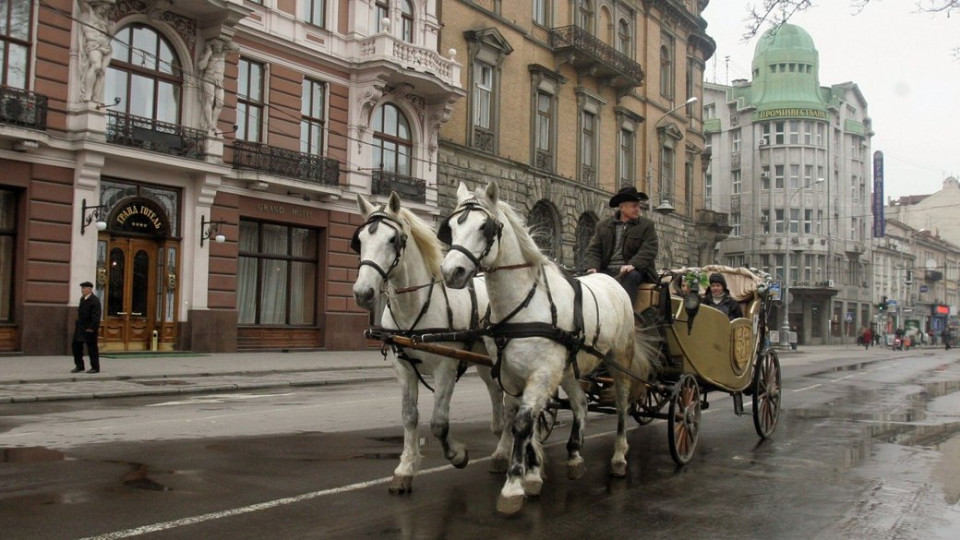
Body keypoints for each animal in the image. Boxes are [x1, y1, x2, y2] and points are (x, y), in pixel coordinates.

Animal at [348, 191, 506, 494]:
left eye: (392, 239)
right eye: (359, 240)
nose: (363, 292)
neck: (415, 307)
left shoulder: (445, 368)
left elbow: (438, 423)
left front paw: (457, 455)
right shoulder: (403, 368)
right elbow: (410, 415)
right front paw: (405, 469)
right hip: (485, 362)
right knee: (497, 394)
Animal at [440, 181, 660, 516]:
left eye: (484, 227)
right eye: (451, 226)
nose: (452, 272)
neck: (523, 305)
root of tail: (613, 281)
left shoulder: (541, 373)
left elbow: (521, 424)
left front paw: (514, 485)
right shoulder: (512, 374)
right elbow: (523, 420)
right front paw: (532, 474)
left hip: (618, 359)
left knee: (622, 406)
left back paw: (619, 457)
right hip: (568, 368)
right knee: (581, 403)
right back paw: (574, 455)